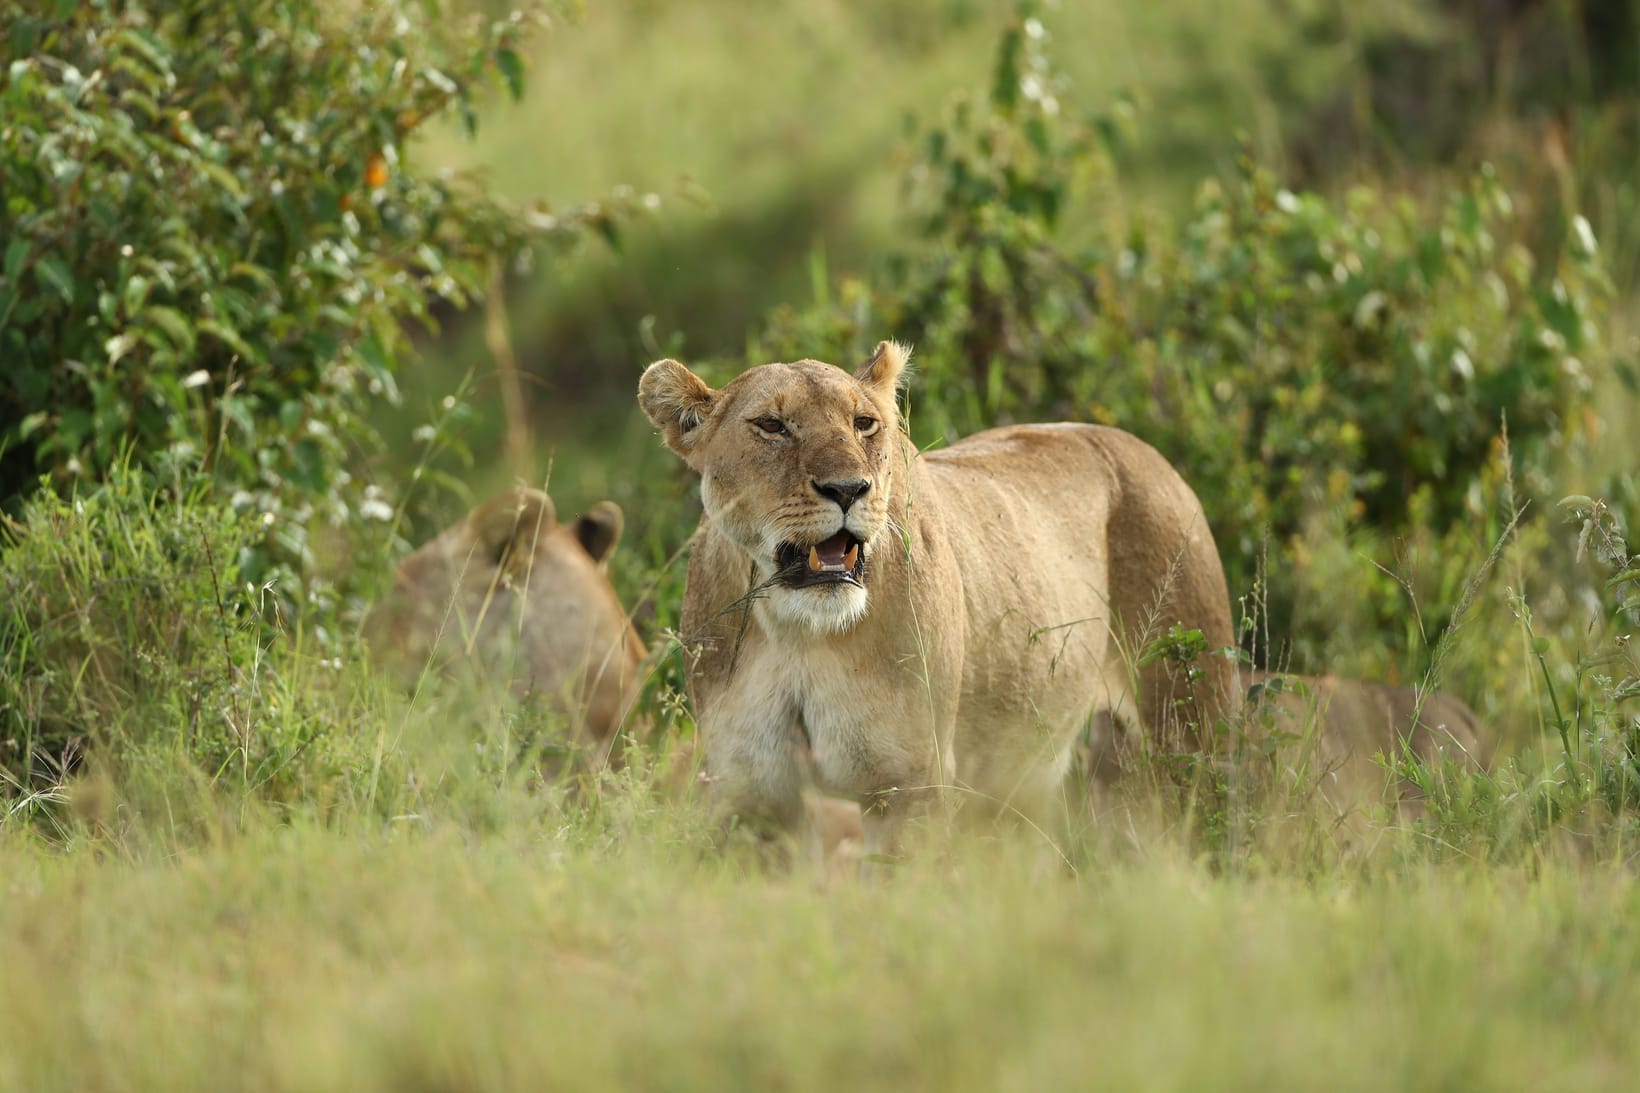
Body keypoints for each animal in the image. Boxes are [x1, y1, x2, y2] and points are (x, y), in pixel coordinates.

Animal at [638, 341, 1236, 859]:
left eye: (863, 423)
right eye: (771, 426)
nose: (849, 489)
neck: (798, 631)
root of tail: (1150, 452)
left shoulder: (909, 784)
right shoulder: (753, 797)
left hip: (1189, 738)